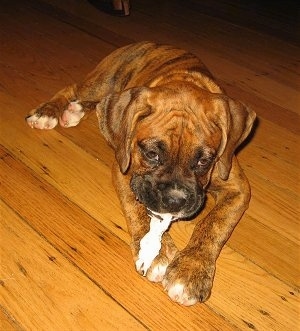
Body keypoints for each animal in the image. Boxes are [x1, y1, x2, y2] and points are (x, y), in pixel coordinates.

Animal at [26, 41, 255, 306]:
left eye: (204, 161)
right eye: (151, 154)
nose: (175, 200)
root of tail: (151, 44)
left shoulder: (237, 187)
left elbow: (213, 224)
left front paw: (190, 270)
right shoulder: (124, 170)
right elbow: (137, 209)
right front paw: (157, 252)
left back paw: (74, 110)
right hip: (103, 81)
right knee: (74, 87)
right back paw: (48, 112)